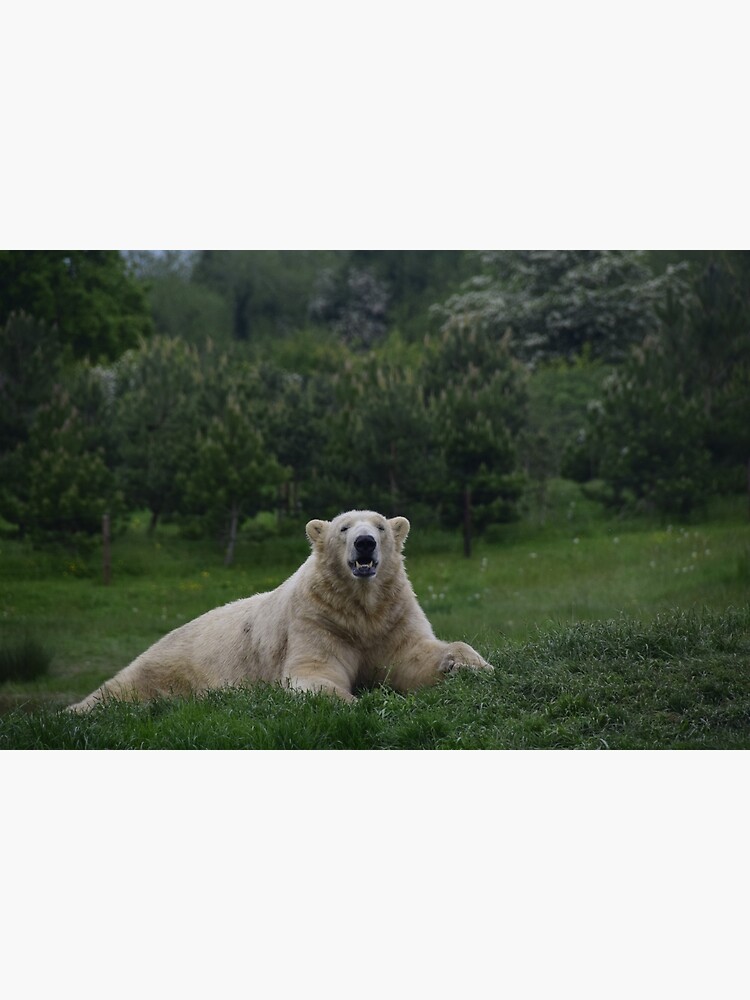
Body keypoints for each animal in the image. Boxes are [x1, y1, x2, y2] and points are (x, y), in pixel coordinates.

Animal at [69, 508, 494, 712]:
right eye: (343, 528)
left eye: (381, 527)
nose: (365, 543)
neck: (358, 607)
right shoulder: (317, 621)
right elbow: (314, 673)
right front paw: (353, 701)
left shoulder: (391, 618)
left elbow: (412, 656)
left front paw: (470, 664)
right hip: (173, 663)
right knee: (121, 688)